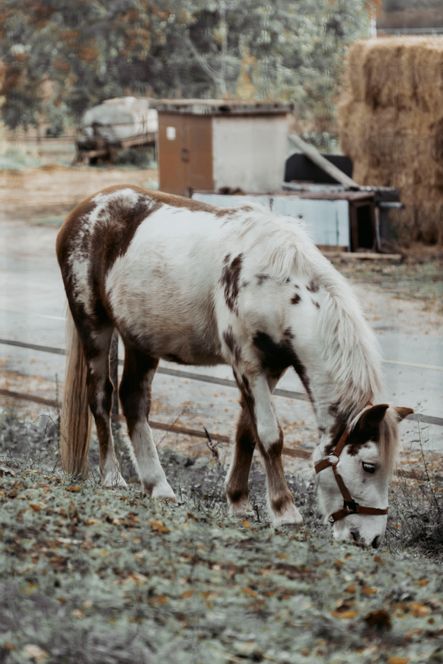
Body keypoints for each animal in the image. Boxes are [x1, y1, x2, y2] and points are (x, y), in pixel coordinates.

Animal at [56, 185, 413, 547]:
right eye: (369, 466)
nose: (370, 540)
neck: (278, 287)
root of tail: (85, 208)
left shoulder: (270, 368)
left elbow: (246, 433)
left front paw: (239, 502)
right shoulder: (247, 365)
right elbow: (269, 436)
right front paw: (285, 512)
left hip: (141, 341)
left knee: (133, 402)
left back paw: (159, 487)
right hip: (95, 325)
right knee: (101, 397)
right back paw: (113, 476)